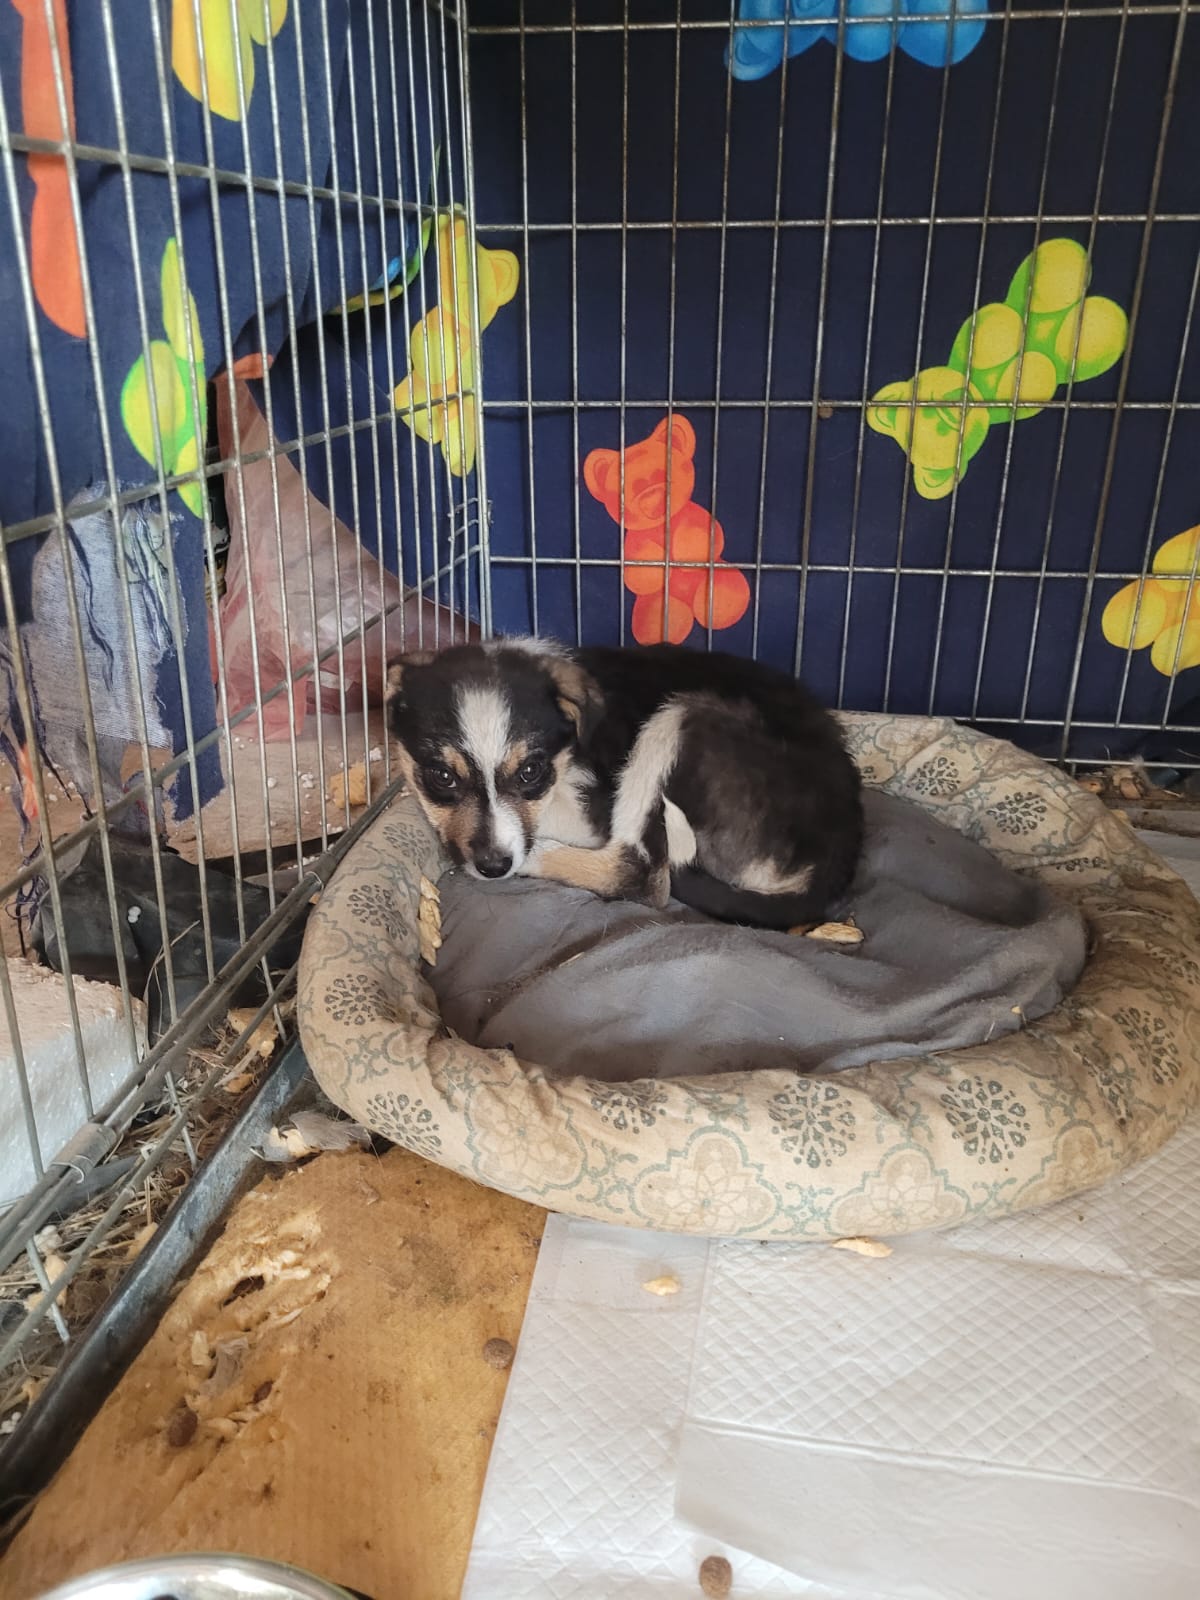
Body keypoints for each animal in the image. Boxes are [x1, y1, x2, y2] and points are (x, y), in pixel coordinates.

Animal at [386, 638, 863, 930]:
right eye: (442, 776)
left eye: (530, 772)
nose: (493, 866)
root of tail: (838, 854)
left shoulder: (585, 813)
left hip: (681, 717)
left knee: (643, 872)